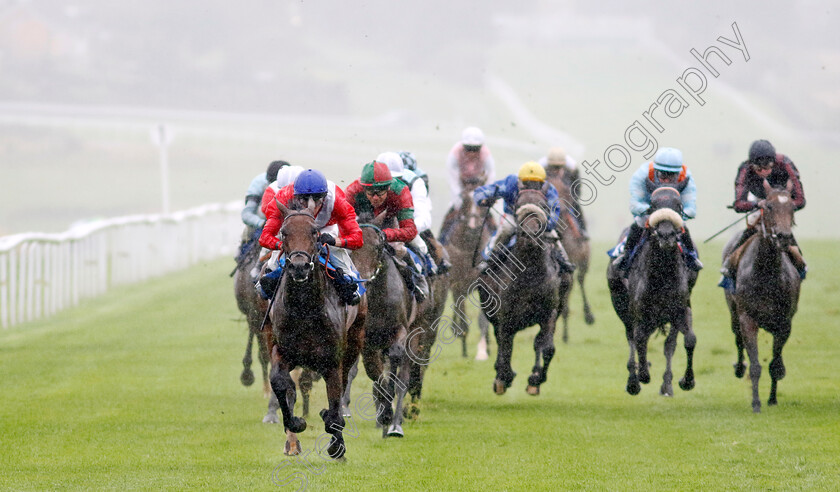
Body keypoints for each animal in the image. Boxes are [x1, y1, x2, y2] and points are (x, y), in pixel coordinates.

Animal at [266, 203, 364, 458]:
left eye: (314, 232)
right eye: (284, 233)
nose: (299, 266)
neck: (305, 308)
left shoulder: (332, 359)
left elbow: (335, 400)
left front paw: (337, 444)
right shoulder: (283, 350)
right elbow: (279, 382)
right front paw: (296, 422)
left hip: (354, 341)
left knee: (342, 383)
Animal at [442, 186, 496, 360]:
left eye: (483, 203)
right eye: (465, 201)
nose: (473, 227)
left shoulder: (484, 283)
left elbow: (483, 320)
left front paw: (483, 351)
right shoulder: (457, 285)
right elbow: (463, 320)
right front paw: (464, 350)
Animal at [608, 186, 700, 398]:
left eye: (678, 205)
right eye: (652, 206)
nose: (666, 234)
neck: (662, 275)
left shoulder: (681, 309)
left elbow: (689, 340)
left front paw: (687, 381)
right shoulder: (640, 313)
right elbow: (639, 339)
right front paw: (642, 374)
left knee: (668, 344)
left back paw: (666, 385)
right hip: (621, 305)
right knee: (632, 337)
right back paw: (633, 381)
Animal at [720, 179, 800, 414]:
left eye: (792, 208)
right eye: (769, 206)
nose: (783, 236)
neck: (766, 273)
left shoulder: (784, 322)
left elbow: (775, 364)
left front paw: (772, 398)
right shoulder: (748, 319)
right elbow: (755, 364)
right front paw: (756, 403)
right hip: (733, 312)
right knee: (737, 339)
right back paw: (739, 367)